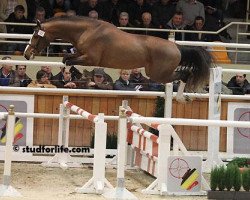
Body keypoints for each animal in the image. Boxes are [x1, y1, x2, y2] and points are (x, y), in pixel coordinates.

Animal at [23, 16, 213, 101]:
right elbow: (66, 58)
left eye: (36, 36)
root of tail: (176, 47)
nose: (26, 54)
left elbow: (69, 61)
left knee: (185, 75)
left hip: (159, 74)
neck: (87, 30)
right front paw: (72, 76)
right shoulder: (81, 54)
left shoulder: (91, 59)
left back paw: (181, 98)